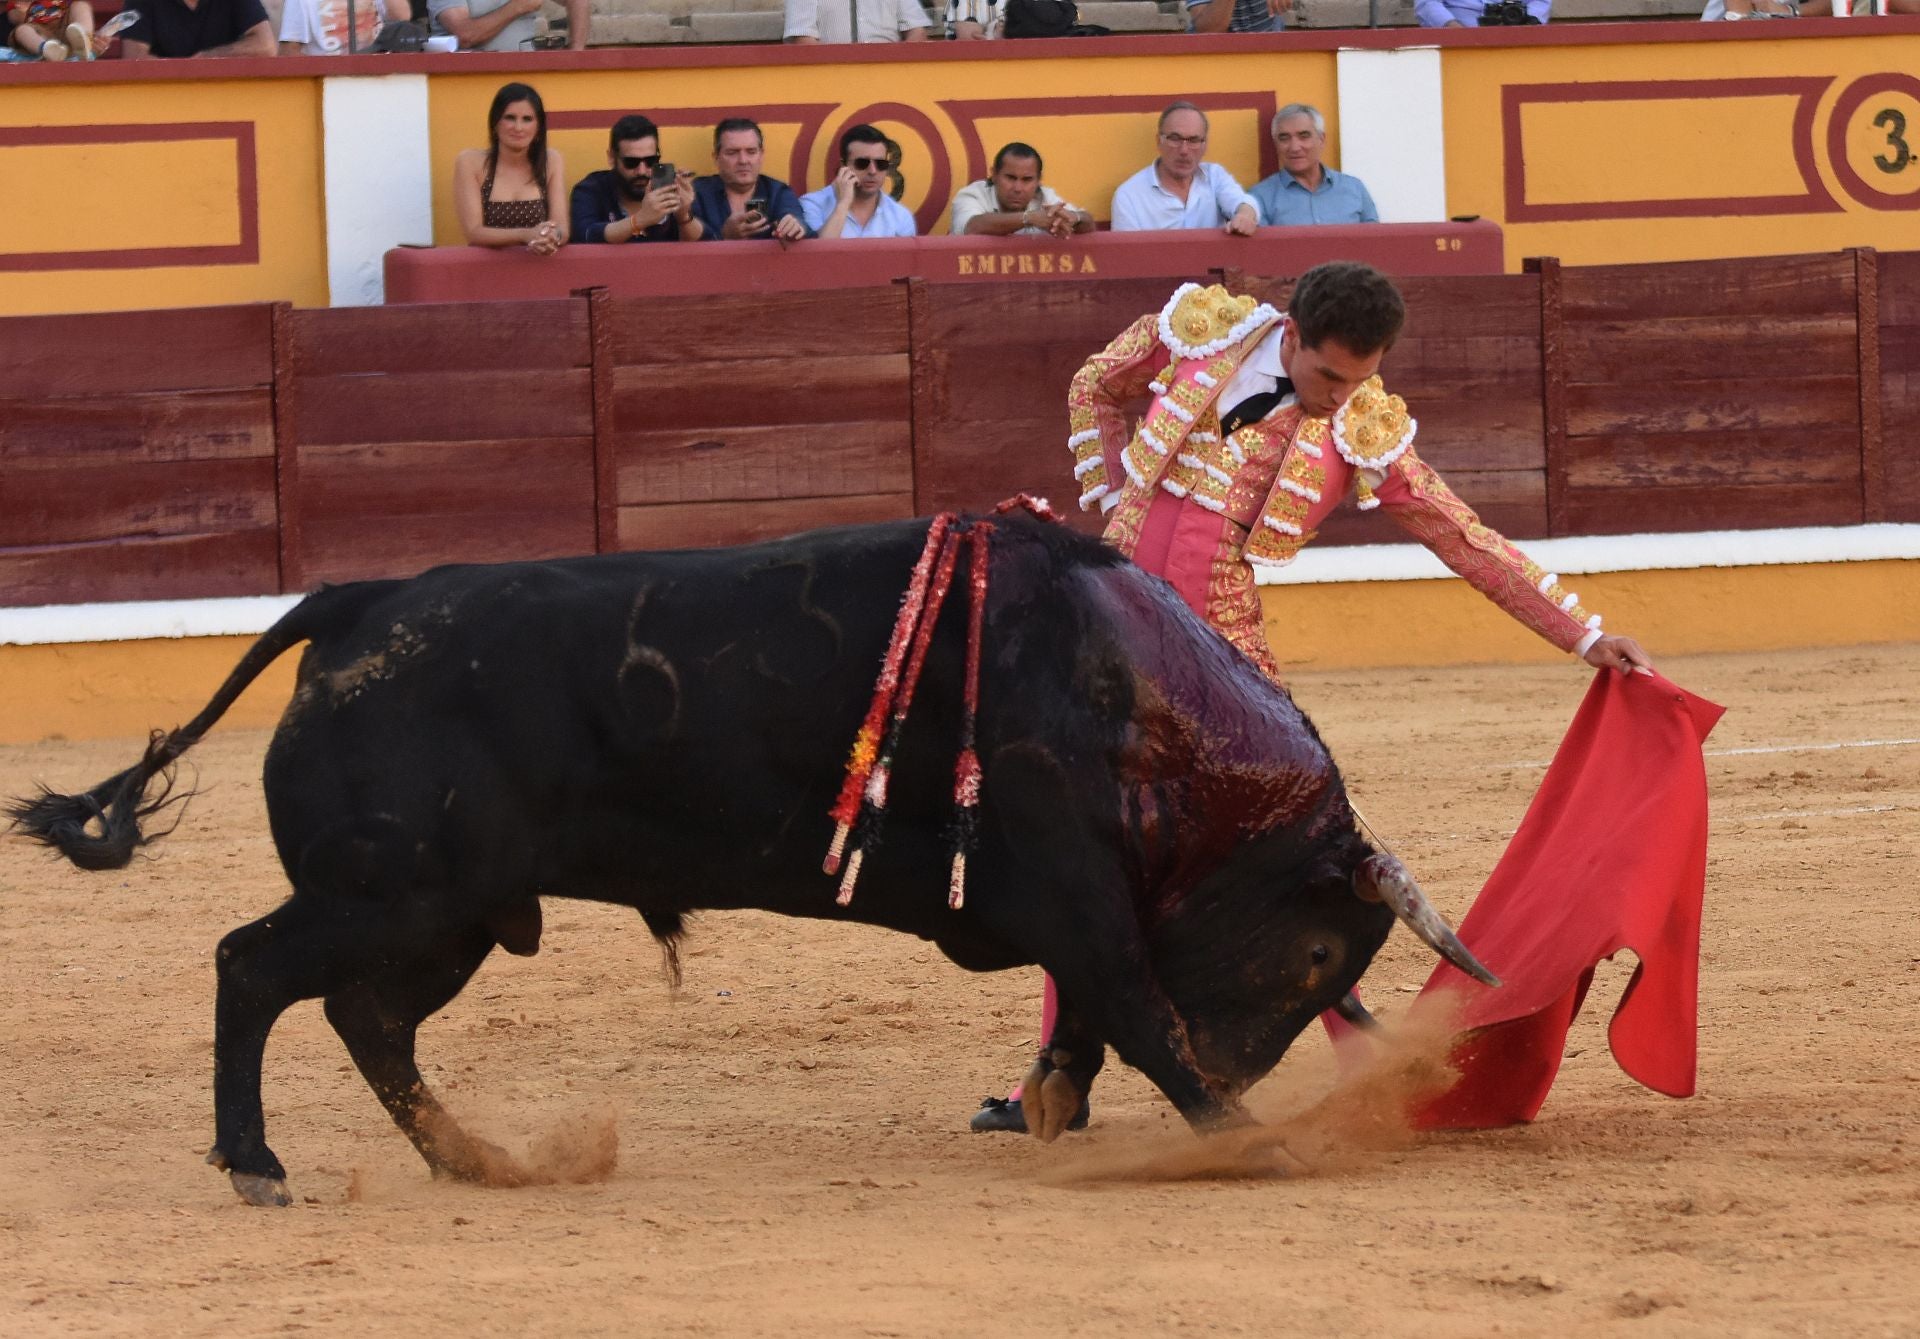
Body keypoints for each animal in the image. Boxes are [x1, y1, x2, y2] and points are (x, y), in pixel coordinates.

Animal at [7, 511, 1489, 1198]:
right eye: (1316, 949)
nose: (1251, 1075)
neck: (1139, 701)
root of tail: (361, 600)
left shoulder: (1077, 908)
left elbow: (1097, 1012)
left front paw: (1065, 1103)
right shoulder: (1078, 885)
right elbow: (1138, 1004)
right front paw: (1245, 1140)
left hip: (451, 912)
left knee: (368, 1017)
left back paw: (475, 1156)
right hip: (387, 889)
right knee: (252, 967)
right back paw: (257, 1162)